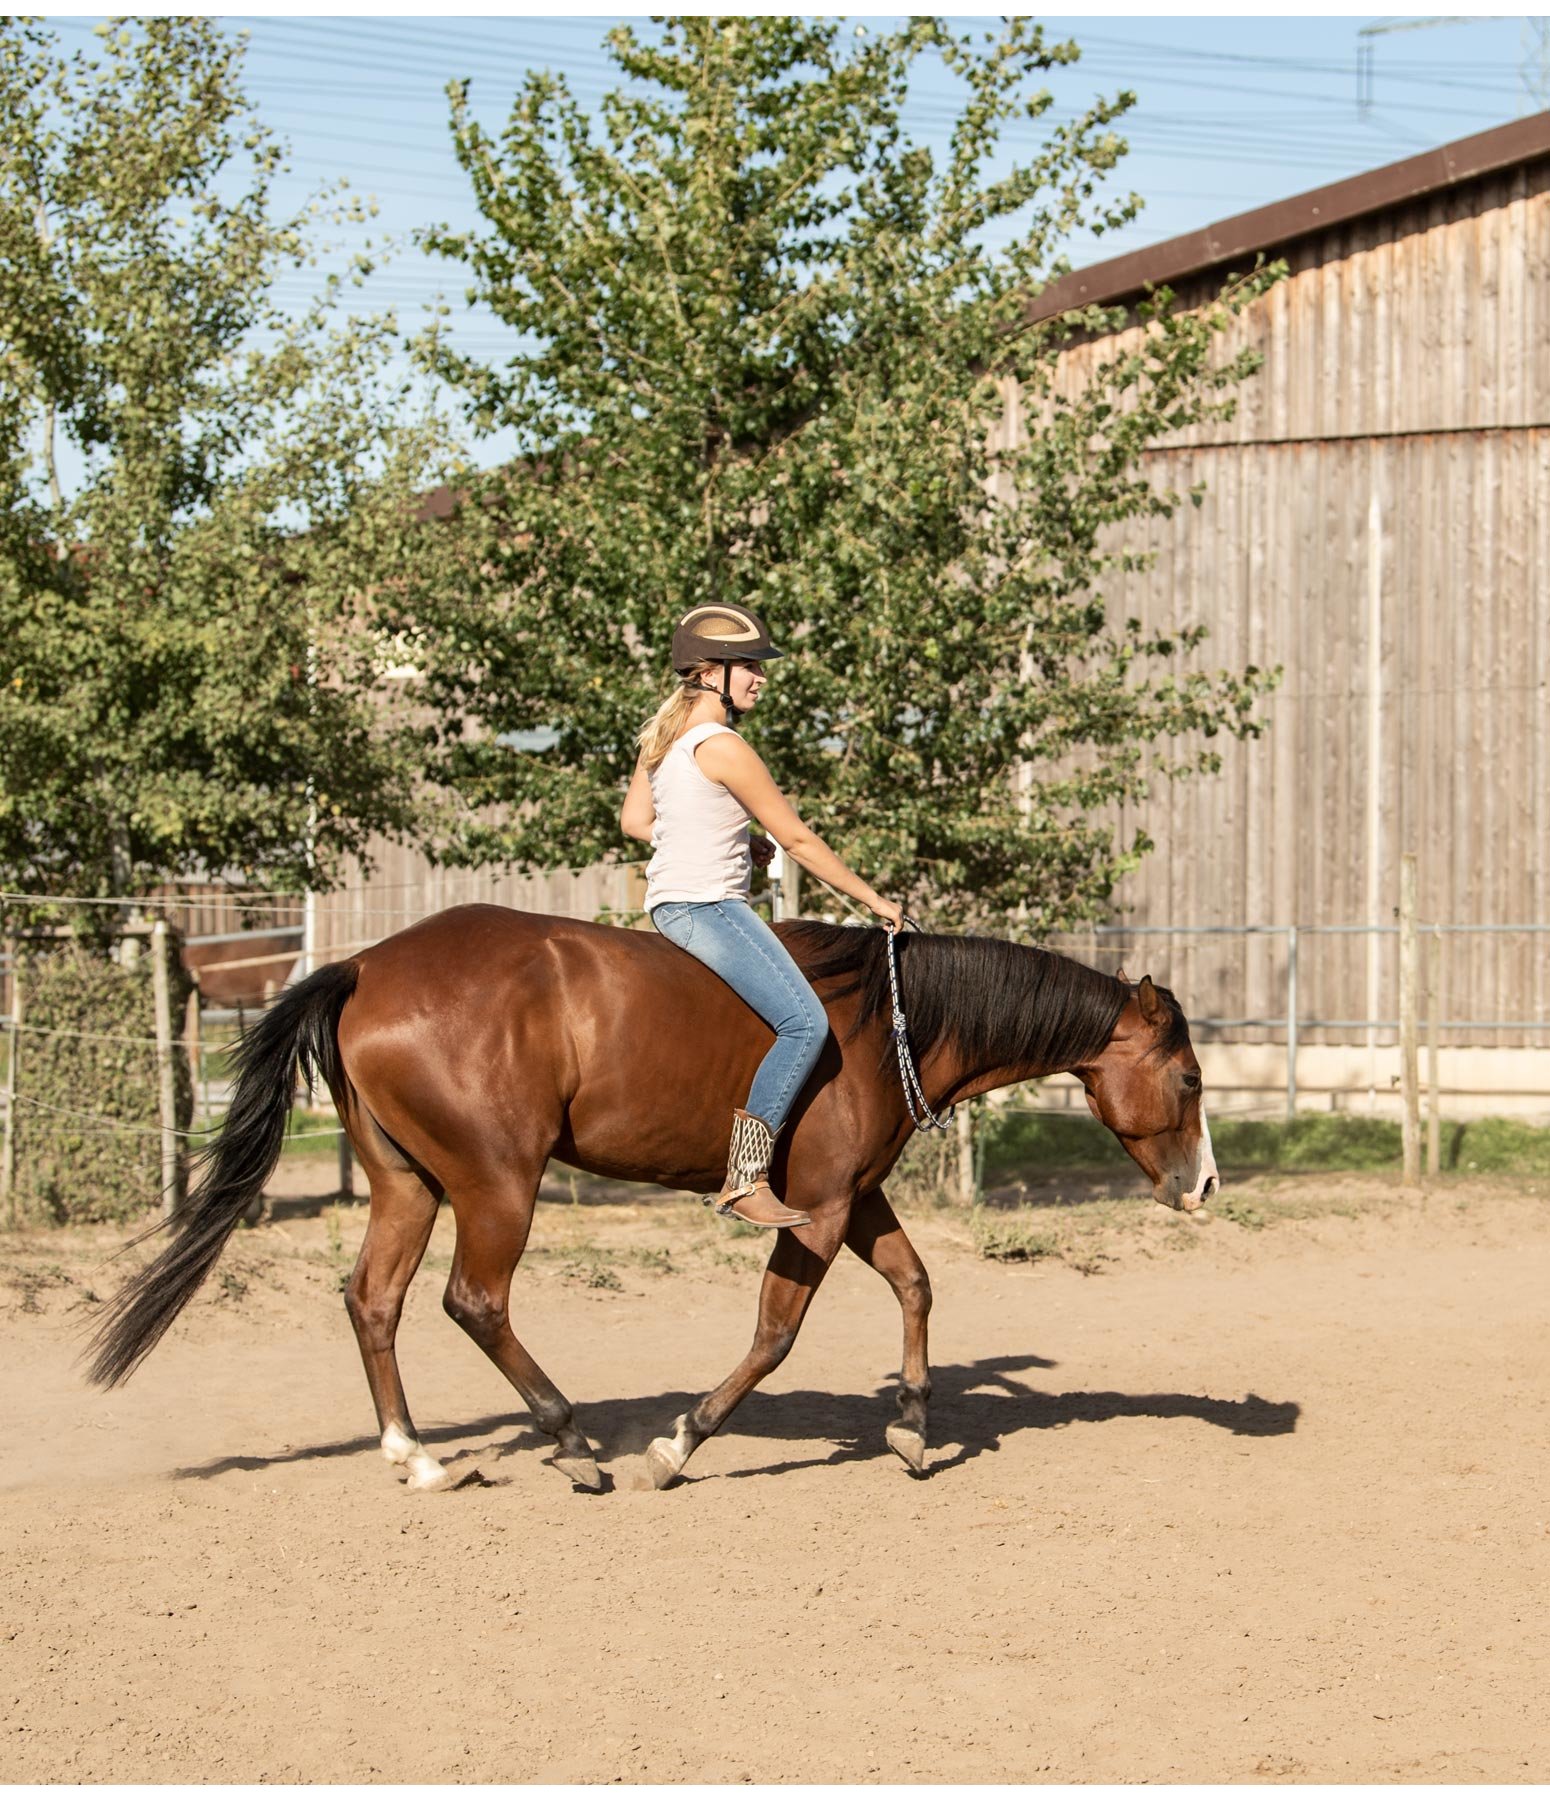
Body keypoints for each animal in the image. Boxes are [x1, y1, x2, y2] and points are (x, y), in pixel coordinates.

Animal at [87, 914, 1224, 1490]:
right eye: (1190, 1078)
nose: (1205, 1185)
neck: (885, 1019)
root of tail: (364, 967)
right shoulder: (814, 1210)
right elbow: (774, 1335)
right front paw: (680, 1442)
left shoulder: (853, 1200)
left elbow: (916, 1285)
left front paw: (910, 1425)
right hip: (496, 1185)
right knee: (474, 1303)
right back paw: (571, 1442)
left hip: (408, 1184)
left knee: (375, 1300)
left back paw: (417, 1456)